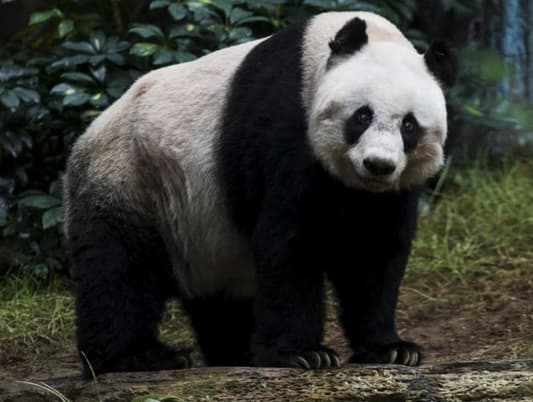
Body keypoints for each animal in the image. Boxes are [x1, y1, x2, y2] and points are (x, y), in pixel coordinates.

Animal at [64, 11, 456, 376]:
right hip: (133, 178)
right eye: (362, 116)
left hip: (202, 233)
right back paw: (136, 358)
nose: (378, 164)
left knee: (221, 304)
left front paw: (392, 349)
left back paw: (235, 354)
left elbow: (372, 252)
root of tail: (85, 137)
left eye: (409, 125)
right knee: (120, 269)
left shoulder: (388, 193)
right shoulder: (286, 127)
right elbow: (290, 241)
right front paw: (303, 354)